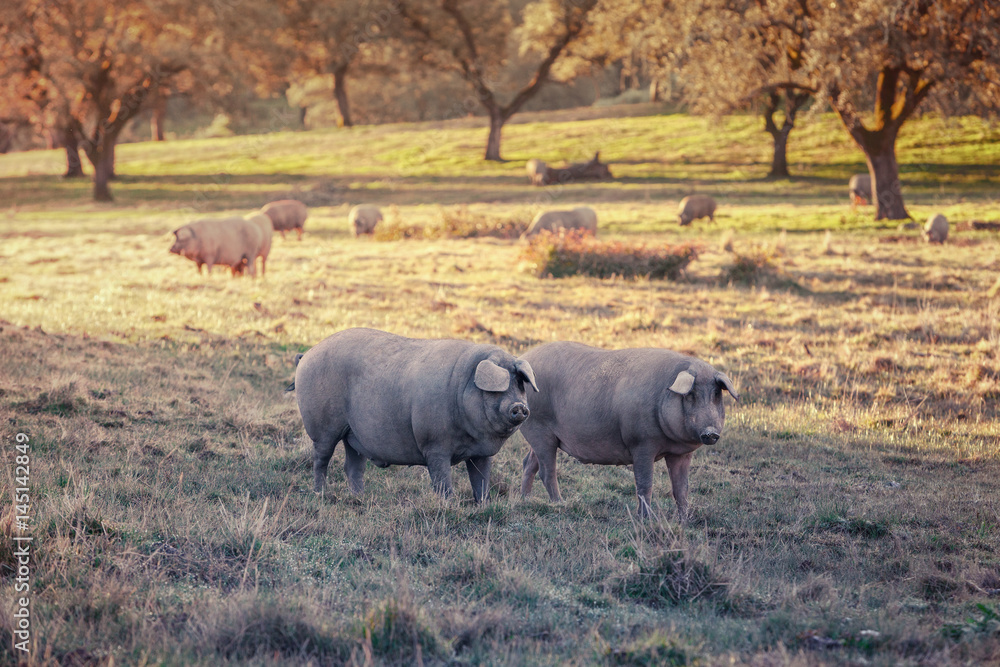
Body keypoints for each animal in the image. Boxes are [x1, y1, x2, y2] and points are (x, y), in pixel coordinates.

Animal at [291, 328, 539, 502]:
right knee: (321, 459)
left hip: (354, 435)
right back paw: (320, 494)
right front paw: (448, 504)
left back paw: (359, 498)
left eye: (519, 383)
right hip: (323, 427)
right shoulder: (434, 445)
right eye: (496, 388)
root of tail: (306, 355)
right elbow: (442, 481)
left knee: (352, 466)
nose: (519, 407)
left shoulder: (481, 454)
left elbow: (481, 481)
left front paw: (483, 504)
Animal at [518, 342, 738, 520]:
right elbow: (645, 483)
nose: (711, 432)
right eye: (691, 394)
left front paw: (685, 520)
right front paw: (647, 520)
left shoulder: (681, 454)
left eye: (716, 394)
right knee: (547, 471)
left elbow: (681, 489)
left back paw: (524, 501)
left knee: (529, 463)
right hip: (539, 429)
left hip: (542, 436)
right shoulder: (641, 443)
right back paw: (560, 504)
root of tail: (524, 359)